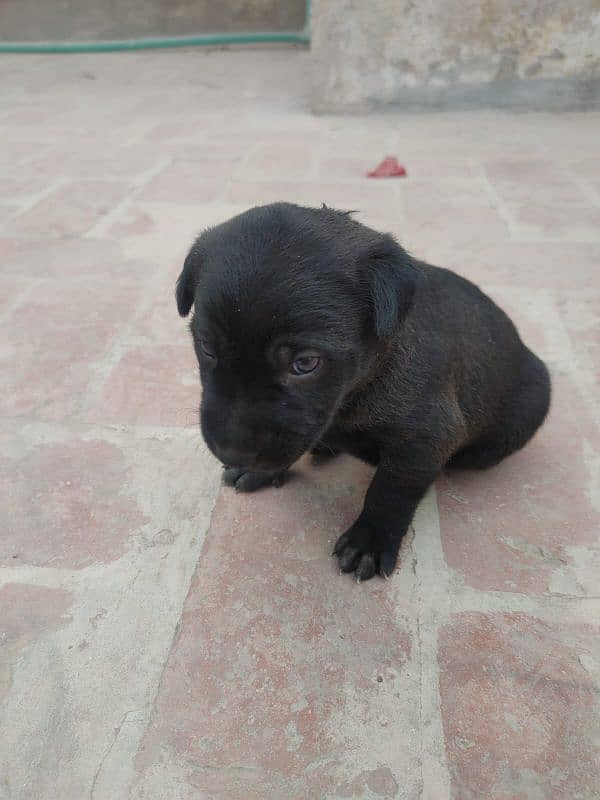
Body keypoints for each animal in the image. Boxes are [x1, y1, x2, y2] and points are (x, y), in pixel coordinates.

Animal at [176, 203, 552, 580]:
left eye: (305, 363)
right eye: (207, 348)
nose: (232, 450)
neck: (359, 387)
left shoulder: (424, 439)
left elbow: (390, 490)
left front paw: (370, 539)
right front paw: (262, 470)